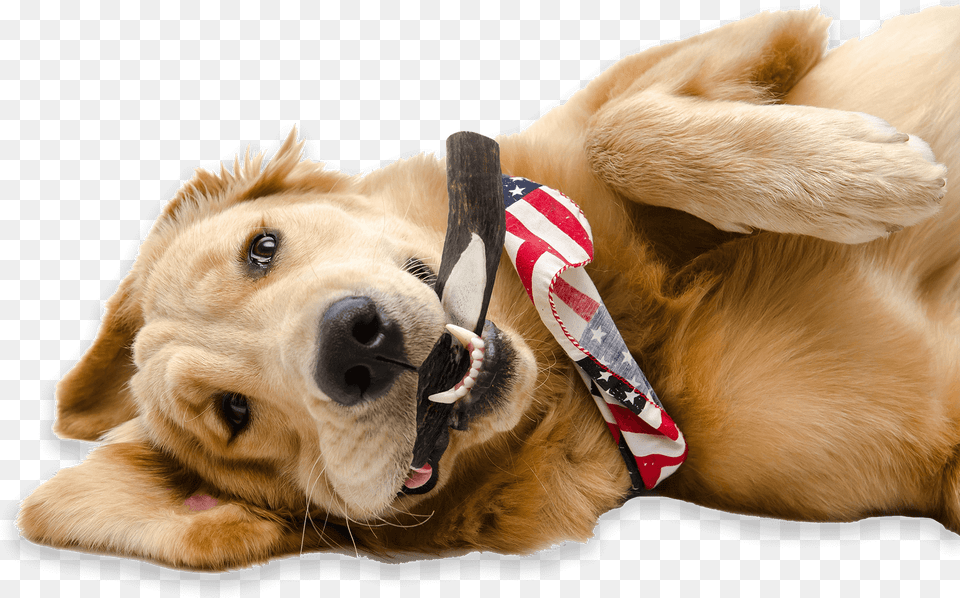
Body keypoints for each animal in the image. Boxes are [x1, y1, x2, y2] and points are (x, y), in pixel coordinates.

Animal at [15, 8, 960, 572]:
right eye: (233, 415)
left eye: (262, 249)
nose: (352, 343)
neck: (605, 349)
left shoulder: (729, 44)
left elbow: (619, 125)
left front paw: (866, 175)